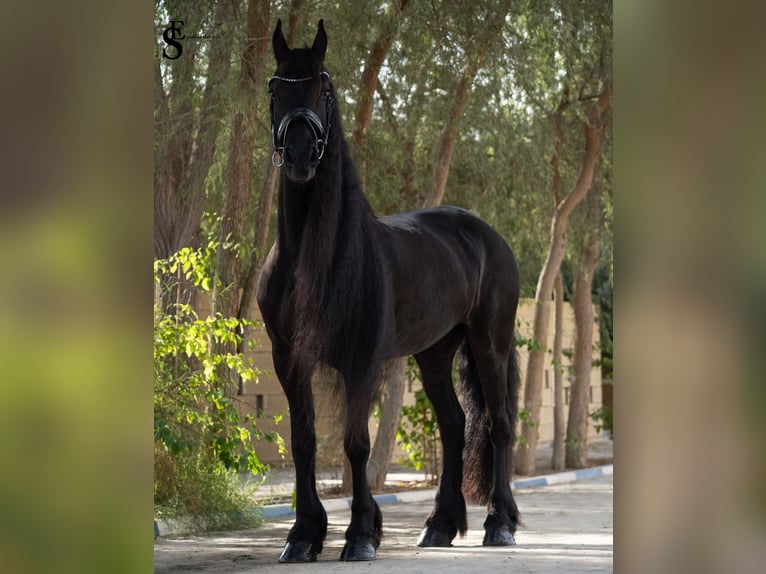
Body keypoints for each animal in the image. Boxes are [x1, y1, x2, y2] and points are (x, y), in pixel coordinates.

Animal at [256, 19, 521, 562]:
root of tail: (489, 236)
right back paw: (439, 526)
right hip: (435, 351)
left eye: (323, 88)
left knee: (498, 424)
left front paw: (360, 535)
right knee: (454, 424)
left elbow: (356, 442)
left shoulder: (361, 360)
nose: (299, 155)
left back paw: (499, 524)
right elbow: (304, 441)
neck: (310, 262)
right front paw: (303, 536)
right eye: (276, 88)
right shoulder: (288, 357)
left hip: (490, 341)